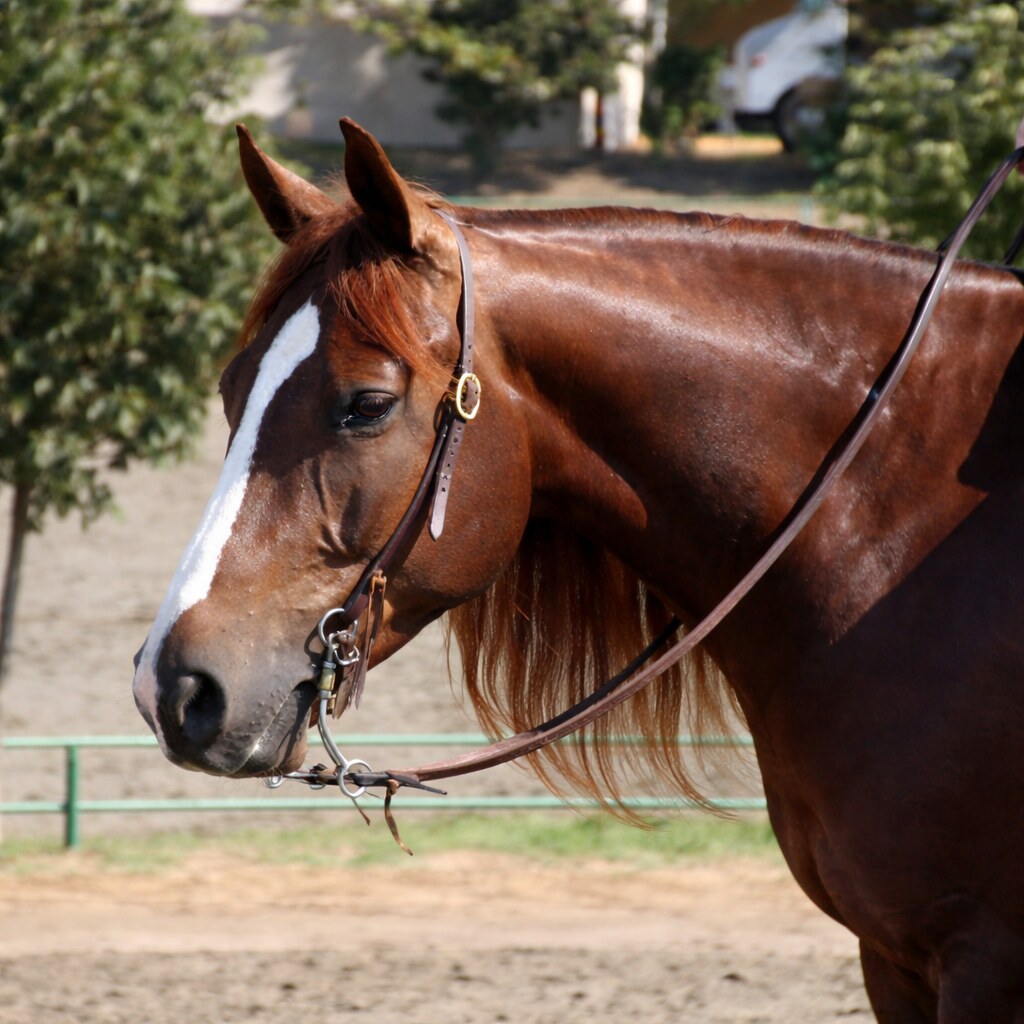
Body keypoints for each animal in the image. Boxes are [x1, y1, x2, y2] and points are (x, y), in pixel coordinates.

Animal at [132, 118, 1024, 1021]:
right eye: (231, 390)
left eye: (367, 404)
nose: (173, 686)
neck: (888, 526)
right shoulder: (892, 963)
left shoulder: (984, 961)